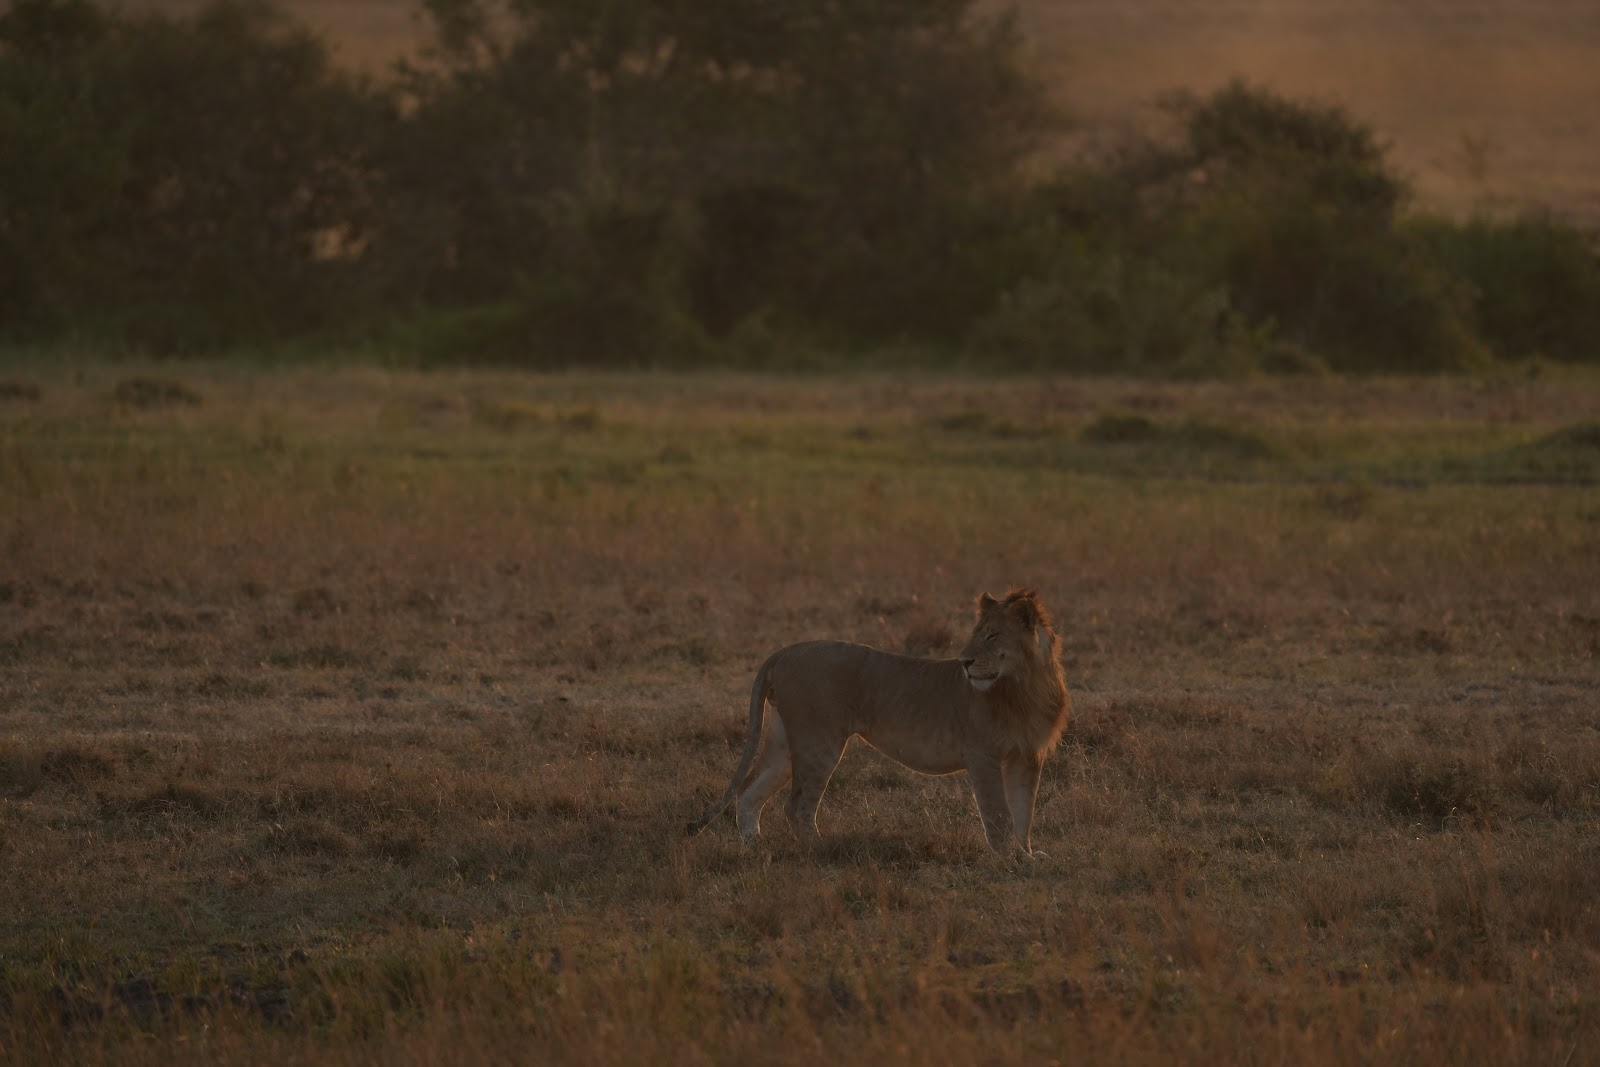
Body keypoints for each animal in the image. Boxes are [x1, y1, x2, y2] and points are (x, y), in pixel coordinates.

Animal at [686, 589, 1070, 857]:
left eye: (992, 636)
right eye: (976, 634)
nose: (964, 662)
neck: (1027, 684)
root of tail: (783, 651)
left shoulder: (1026, 757)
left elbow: (1024, 811)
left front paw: (1026, 855)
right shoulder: (982, 755)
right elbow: (999, 812)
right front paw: (1006, 858)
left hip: (785, 741)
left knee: (749, 792)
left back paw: (755, 846)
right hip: (819, 741)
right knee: (796, 806)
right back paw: (822, 849)